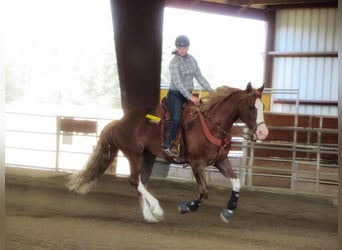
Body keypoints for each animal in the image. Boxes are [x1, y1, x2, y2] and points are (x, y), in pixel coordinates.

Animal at [67, 82, 268, 223]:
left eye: (263, 107)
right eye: (252, 106)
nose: (263, 133)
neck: (213, 124)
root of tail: (120, 121)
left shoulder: (221, 160)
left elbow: (237, 183)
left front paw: (228, 211)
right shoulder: (196, 162)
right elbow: (203, 192)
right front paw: (186, 207)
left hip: (148, 156)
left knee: (141, 182)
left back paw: (149, 215)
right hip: (135, 155)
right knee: (135, 181)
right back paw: (157, 209)